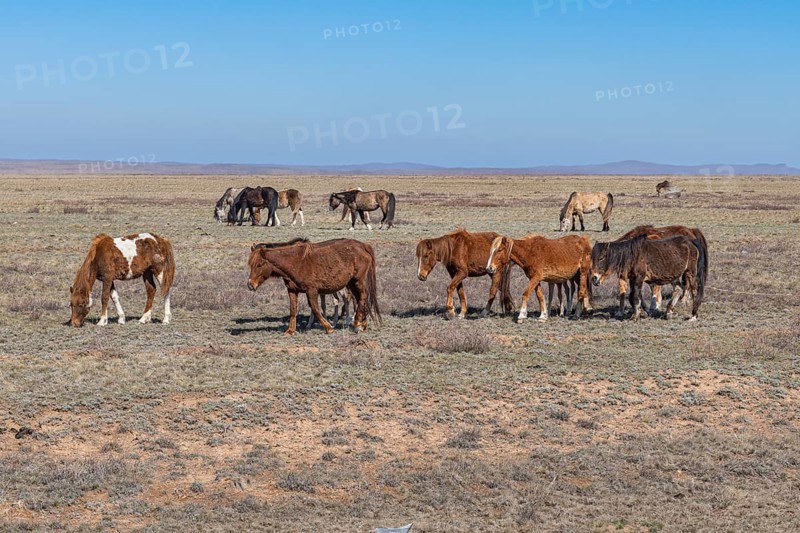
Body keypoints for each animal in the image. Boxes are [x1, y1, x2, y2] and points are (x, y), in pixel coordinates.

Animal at [247, 238, 380, 334]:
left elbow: (315, 309)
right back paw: (362, 324)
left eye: (260, 264)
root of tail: (363, 245)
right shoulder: (292, 290)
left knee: (362, 297)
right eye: (251, 264)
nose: (250, 284)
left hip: (357, 281)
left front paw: (329, 328)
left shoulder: (311, 291)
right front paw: (290, 331)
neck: (296, 262)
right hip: (351, 283)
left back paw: (357, 324)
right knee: (359, 299)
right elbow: (293, 309)